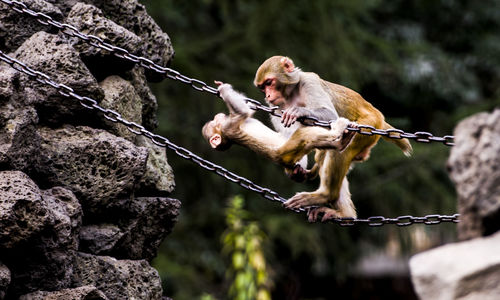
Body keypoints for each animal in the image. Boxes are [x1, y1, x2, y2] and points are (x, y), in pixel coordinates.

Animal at [254, 56, 414, 221]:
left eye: (269, 83)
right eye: (262, 87)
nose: (267, 96)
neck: (290, 95)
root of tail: (379, 118)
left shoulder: (309, 82)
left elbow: (330, 115)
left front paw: (299, 111)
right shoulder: (276, 108)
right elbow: (292, 141)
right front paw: (295, 170)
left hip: (368, 125)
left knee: (342, 149)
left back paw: (326, 195)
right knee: (327, 153)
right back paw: (344, 213)